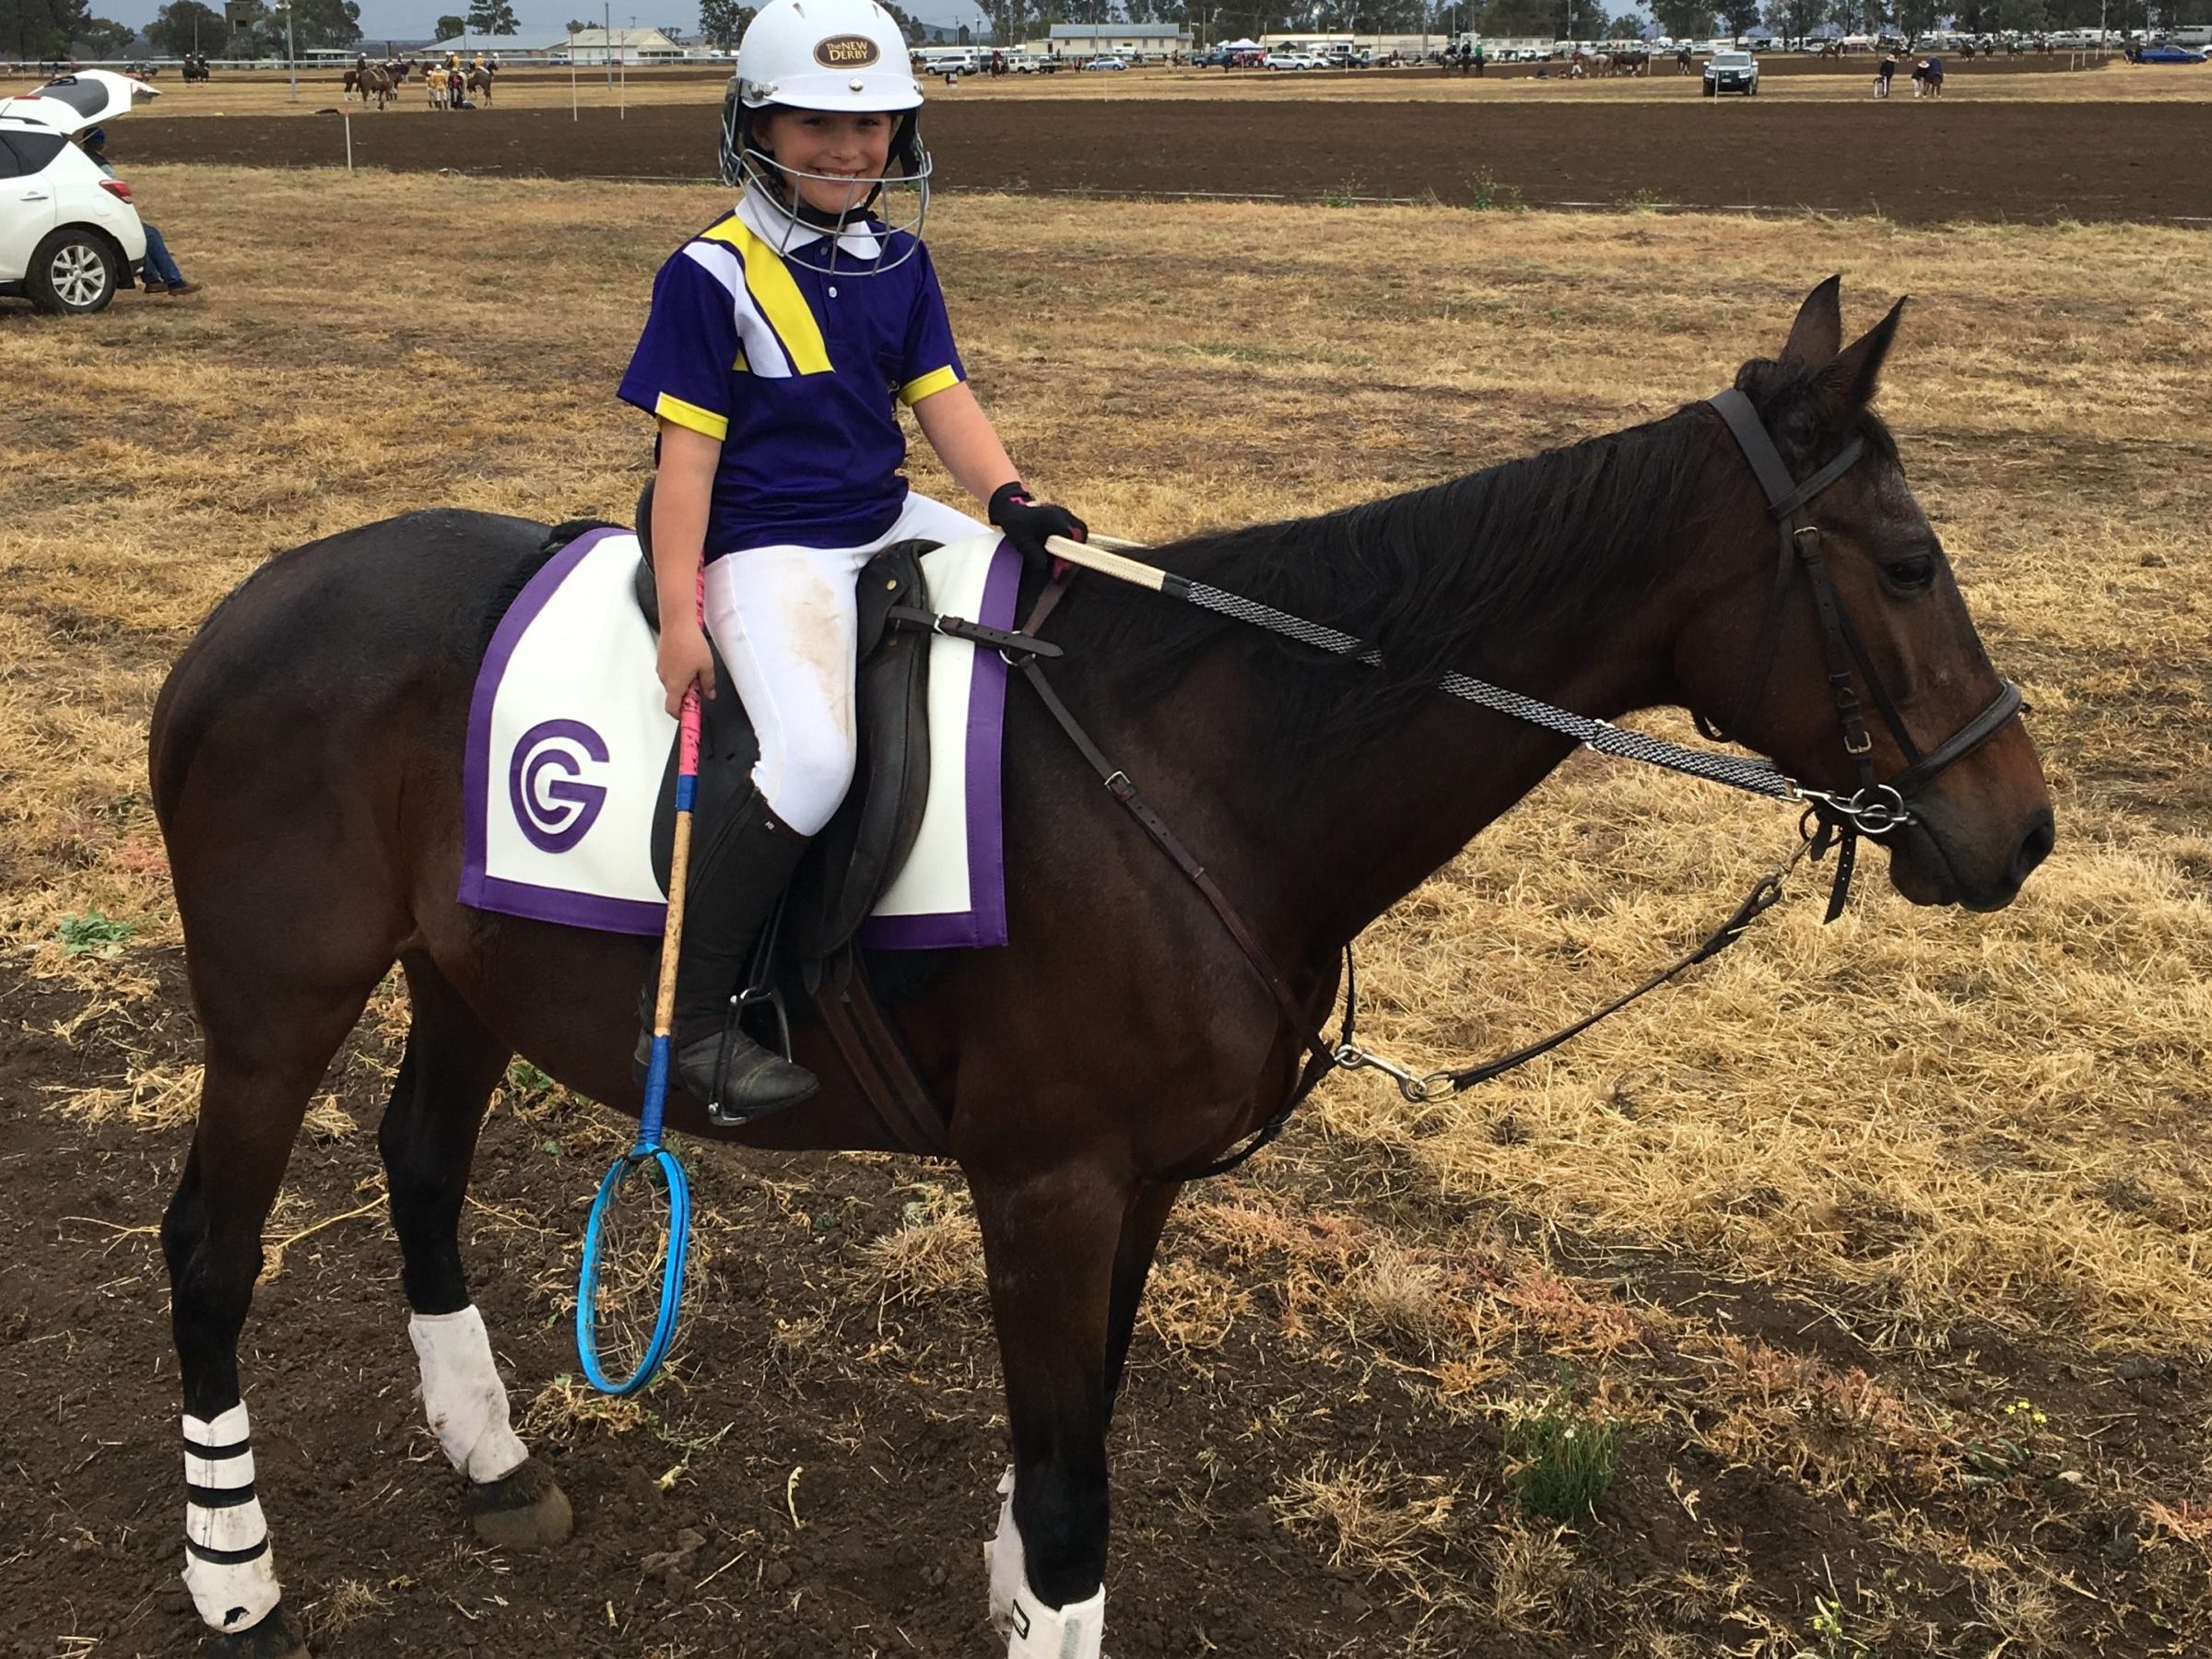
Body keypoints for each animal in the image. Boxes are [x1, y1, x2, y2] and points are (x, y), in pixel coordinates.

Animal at [146, 281, 2051, 1658]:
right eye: (1908, 562)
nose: (2022, 830)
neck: (1207, 760)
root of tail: (246, 612)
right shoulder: (1051, 1183)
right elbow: (1071, 1506)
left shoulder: (1138, 1187)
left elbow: (1082, 1444)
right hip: (277, 1004)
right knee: (211, 1246)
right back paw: (232, 1569)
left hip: (466, 978)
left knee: (420, 1170)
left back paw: (492, 1462)